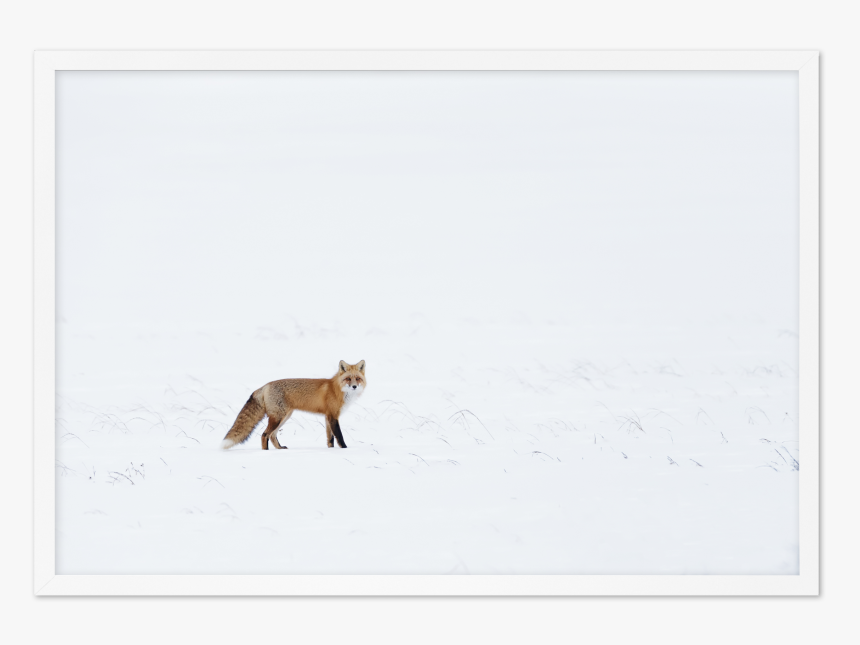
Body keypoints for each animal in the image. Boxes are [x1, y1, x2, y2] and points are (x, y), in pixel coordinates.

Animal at [220, 360, 366, 450]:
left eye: (358, 379)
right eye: (348, 379)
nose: (354, 386)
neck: (337, 389)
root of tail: (265, 385)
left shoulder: (327, 417)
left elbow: (330, 439)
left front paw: (332, 450)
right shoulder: (333, 416)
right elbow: (339, 436)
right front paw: (345, 449)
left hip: (284, 417)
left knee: (272, 435)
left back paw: (280, 449)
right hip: (278, 417)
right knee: (264, 435)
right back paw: (265, 452)